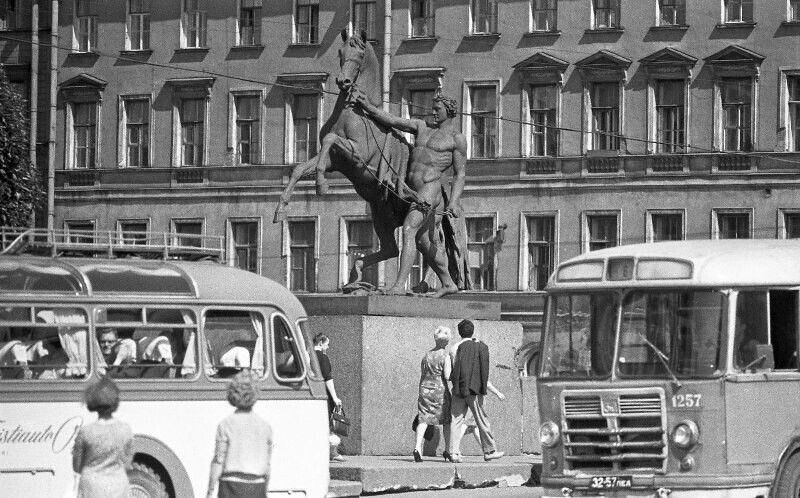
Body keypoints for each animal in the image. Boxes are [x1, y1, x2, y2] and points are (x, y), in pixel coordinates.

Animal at [274, 30, 412, 276]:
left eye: (360, 54)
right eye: (341, 52)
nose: (343, 81)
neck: (355, 112)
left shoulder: (358, 156)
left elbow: (330, 140)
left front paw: (321, 184)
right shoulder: (336, 160)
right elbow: (300, 168)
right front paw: (281, 207)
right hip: (381, 214)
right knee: (392, 249)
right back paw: (356, 272)